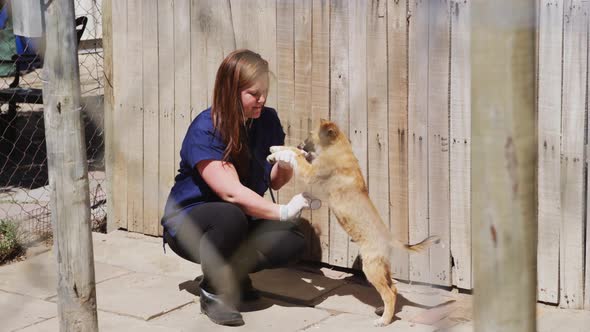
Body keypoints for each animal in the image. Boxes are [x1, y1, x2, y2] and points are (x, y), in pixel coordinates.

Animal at [268, 119, 440, 326]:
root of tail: (390, 238)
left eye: (310, 134)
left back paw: (384, 320)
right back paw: (382, 311)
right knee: (393, 288)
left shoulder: (310, 172)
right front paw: (275, 150)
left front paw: (281, 153)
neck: (337, 148)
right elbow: (295, 151)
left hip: (371, 267)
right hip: (382, 266)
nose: (302, 144)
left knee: (389, 293)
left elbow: (296, 155)